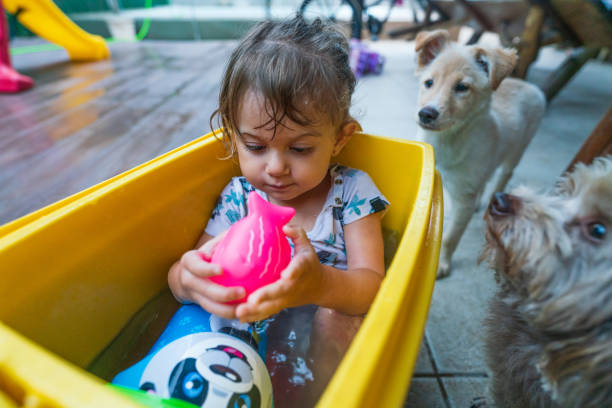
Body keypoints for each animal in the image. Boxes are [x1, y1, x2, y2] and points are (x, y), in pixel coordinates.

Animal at [414, 28, 548, 278]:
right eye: (428, 82)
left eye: (462, 87)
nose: (426, 114)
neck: (447, 141)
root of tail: (528, 85)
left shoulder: (463, 199)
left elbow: (450, 237)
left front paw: (442, 264)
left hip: (518, 149)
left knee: (504, 175)